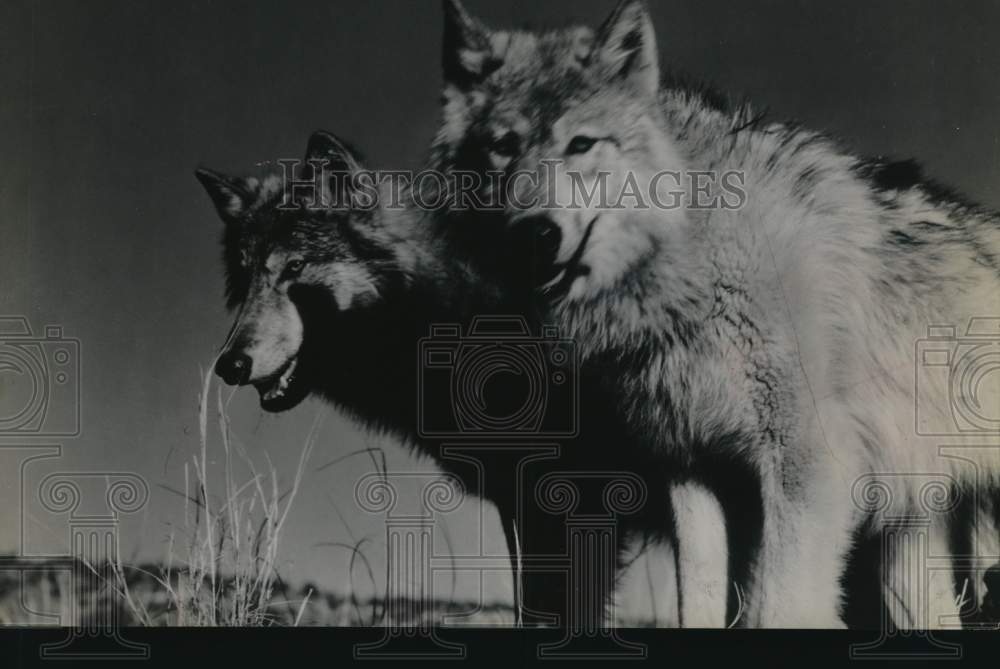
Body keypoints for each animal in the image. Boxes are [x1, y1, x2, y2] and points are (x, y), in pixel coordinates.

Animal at [434, 0, 1000, 627]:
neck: (693, 252)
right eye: (503, 145)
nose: (536, 234)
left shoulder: (806, 464)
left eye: (582, 144)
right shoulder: (693, 466)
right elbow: (699, 600)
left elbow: (780, 607)